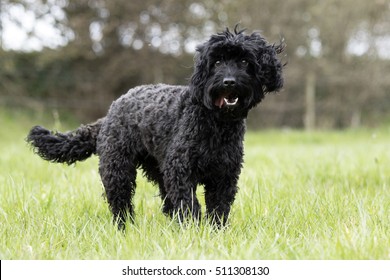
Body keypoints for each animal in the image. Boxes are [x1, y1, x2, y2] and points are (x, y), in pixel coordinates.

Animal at [26, 27, 284, 230]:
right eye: (217, 62)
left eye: (244, 61)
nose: (228, 82)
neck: (215, 123)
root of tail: (112, 110)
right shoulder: (181, 170)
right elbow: (189, 204)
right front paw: (194, 229)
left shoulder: (224, 175)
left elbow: (218, 208)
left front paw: (215, 232)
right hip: (117, 169)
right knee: (120, 202)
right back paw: (125, 228)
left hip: (158, 169)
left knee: (166, 204)